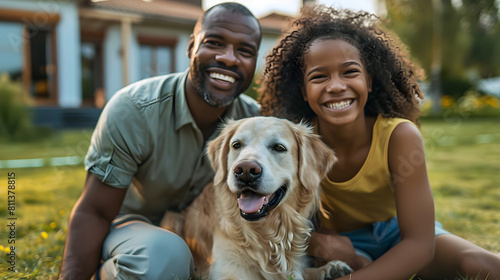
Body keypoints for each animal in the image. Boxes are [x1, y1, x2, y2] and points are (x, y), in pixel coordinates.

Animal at [161, 116, 352, 280]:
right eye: (236, 145)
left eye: (279, 147)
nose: (245, 170)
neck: (267, 233)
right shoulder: (228, 270)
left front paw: (328, 268)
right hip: (171, 219)